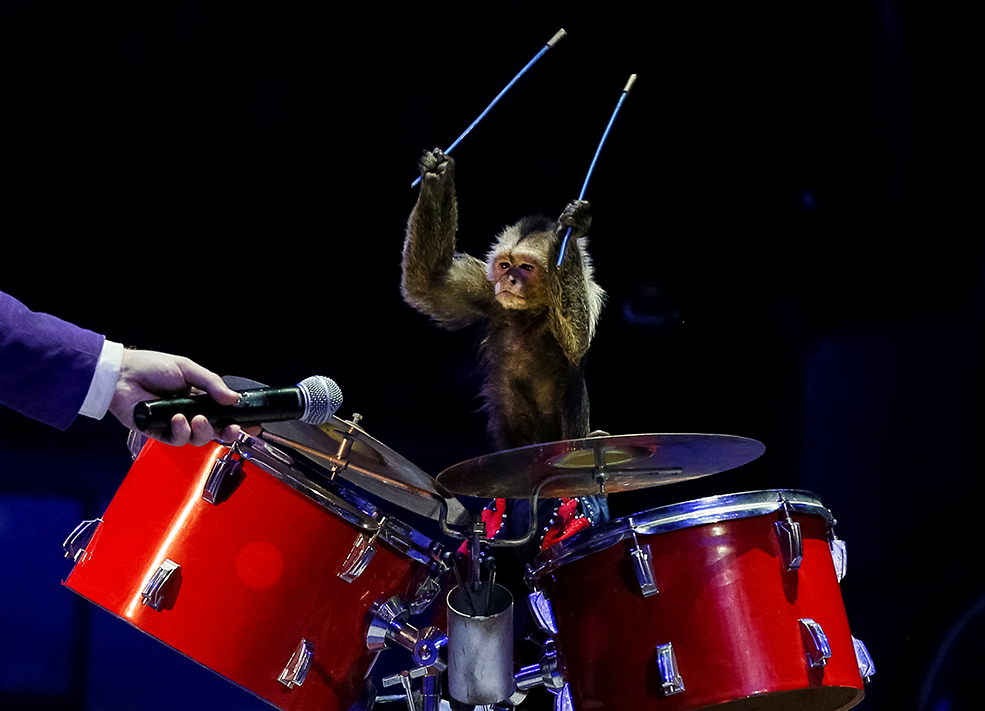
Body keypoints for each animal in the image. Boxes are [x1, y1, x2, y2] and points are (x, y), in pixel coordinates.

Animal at [402, 148, 604, 454]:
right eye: (506, 265)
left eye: (526, 268)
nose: (509, 281)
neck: (531, 311)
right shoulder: (486, 292)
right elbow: (426, 282)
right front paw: (437, 175)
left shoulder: (590, 295)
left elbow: (576, 340)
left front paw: (570, 232)